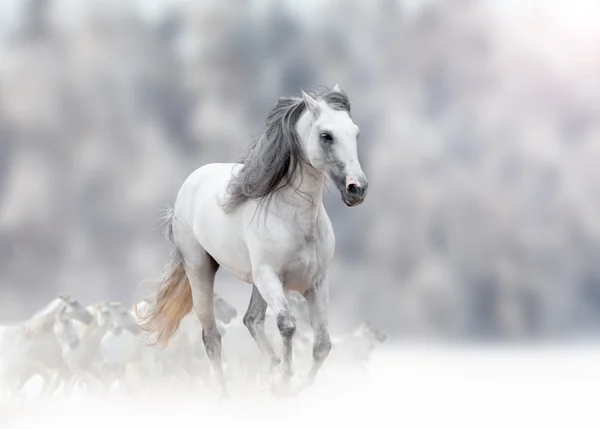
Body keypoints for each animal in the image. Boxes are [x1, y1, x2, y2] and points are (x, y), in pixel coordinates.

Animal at [138, 85, 368, 396]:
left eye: (356, 133)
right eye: (326, 135)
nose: (357, 189)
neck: (295, 218)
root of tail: (192, 180)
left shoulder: (317, 283)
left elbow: (322, 345)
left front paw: (294, 385)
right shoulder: (270, 277)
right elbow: (287, 325)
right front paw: (285, 379)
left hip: (257, 283)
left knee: (252, 320)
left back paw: (269, 370)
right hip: (201, 270)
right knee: (211, 335)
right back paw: (227, 394)